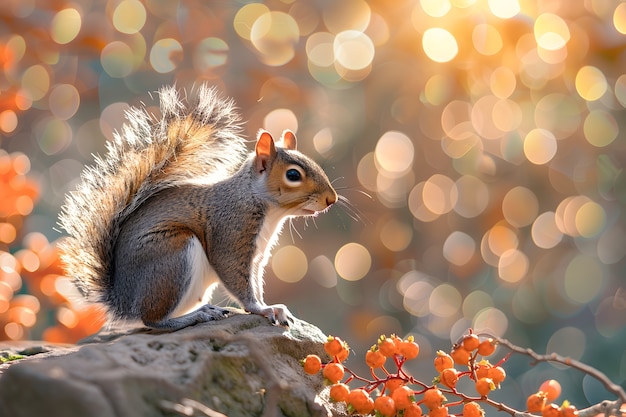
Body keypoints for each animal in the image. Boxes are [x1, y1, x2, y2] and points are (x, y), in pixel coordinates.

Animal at [58, 84, 336, 330]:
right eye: (293, 175)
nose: (331, 199)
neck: (259, 203)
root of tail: (123, 301)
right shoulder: (231, 234)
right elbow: (237, 280)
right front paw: (263, 308)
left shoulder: (257, 258)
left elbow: (255, 283)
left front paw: (270, 307)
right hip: (172, 255)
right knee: (152, 320)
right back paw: (196, 316)